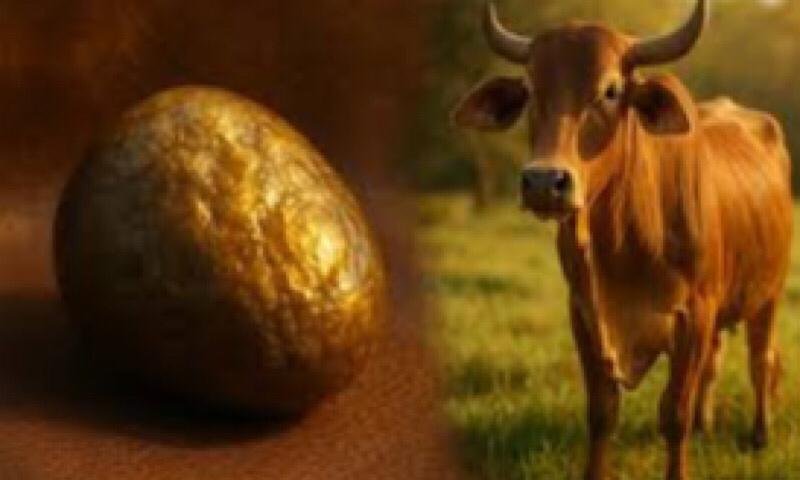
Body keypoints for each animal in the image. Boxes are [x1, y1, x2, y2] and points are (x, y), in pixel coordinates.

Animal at [453, 1, 792, 479]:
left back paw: (759, 435)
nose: (543, 182)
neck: (623, 245)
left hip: (769, 293)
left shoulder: (695, 314)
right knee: (717, 361)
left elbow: (674, 414)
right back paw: (707, 425)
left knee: (761, 360)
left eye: (611, 91)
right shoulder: (584, 313)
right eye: (530, 89)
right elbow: (601, 413)